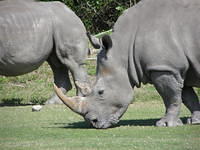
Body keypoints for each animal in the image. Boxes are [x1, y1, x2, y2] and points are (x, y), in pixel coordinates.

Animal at [54, 0, 200, 129]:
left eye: (101, 92)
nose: (93, 122)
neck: (124, 48)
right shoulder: (176, 68)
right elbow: (187, 96)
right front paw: (195, 121)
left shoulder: (164, 68)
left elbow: (171, 96)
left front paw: (165, 124)